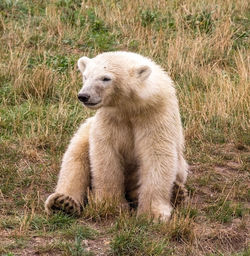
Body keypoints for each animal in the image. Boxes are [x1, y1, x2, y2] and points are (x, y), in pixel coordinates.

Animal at [45, 51, 188, 221]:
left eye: (106, 78)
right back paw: (63, 202)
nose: (84, 96)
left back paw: (177, 192)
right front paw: (110, 204)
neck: (130, 108)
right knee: (75, 158)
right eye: (85, 76)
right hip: (85, 132)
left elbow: (157, 155)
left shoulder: (155, 116)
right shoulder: (110, 119)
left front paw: (153, 214)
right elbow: (105, 156)